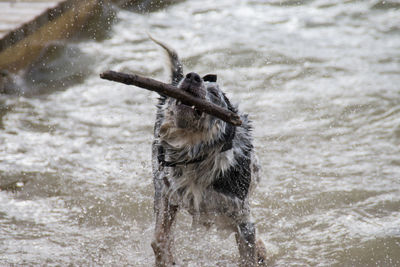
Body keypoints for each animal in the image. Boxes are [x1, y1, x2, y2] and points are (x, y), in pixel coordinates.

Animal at [150, 38, 266, 267]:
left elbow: (248, 248)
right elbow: (159, 239)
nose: (192, 76)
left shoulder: (240, 214)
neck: (194, 155)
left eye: (214, 94)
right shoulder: (166, 193)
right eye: (179, 83)